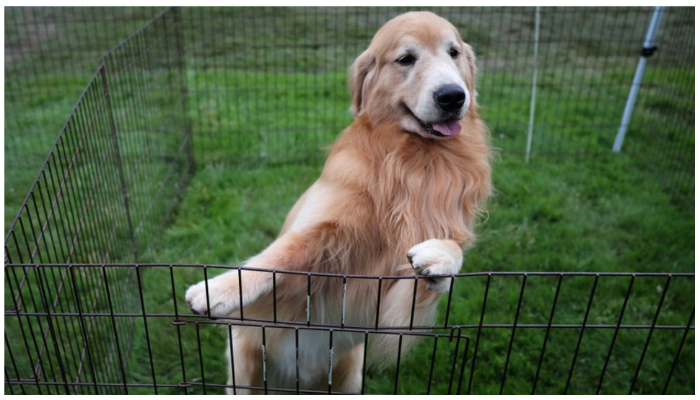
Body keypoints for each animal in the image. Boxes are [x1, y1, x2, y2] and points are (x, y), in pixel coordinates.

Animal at [186, 10, 492, 394]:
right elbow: (277, 256)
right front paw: (214, 289)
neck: (412, 159)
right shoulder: (321, 229)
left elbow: (451, 254)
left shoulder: (399, 292)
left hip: (351, 372)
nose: (453, 96)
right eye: (406, 59)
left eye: (453, 52)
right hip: (244, 366)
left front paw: (437, 256)